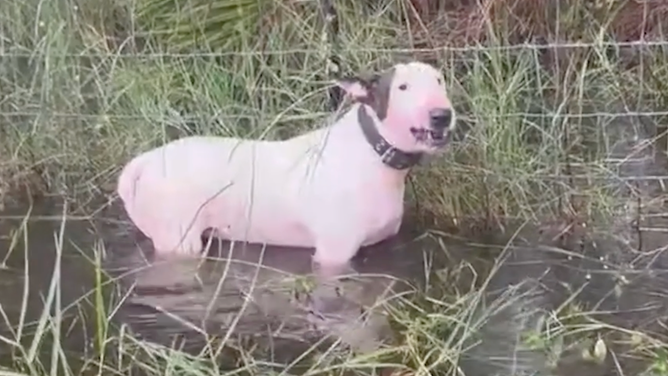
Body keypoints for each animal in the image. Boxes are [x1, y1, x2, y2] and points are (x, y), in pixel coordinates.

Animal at [117, 61, 456, 278]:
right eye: (402, 87)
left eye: (440, 81)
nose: (442, 115)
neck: (372, 152)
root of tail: (143, 162)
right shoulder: (333, 254)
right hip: (178, 239)